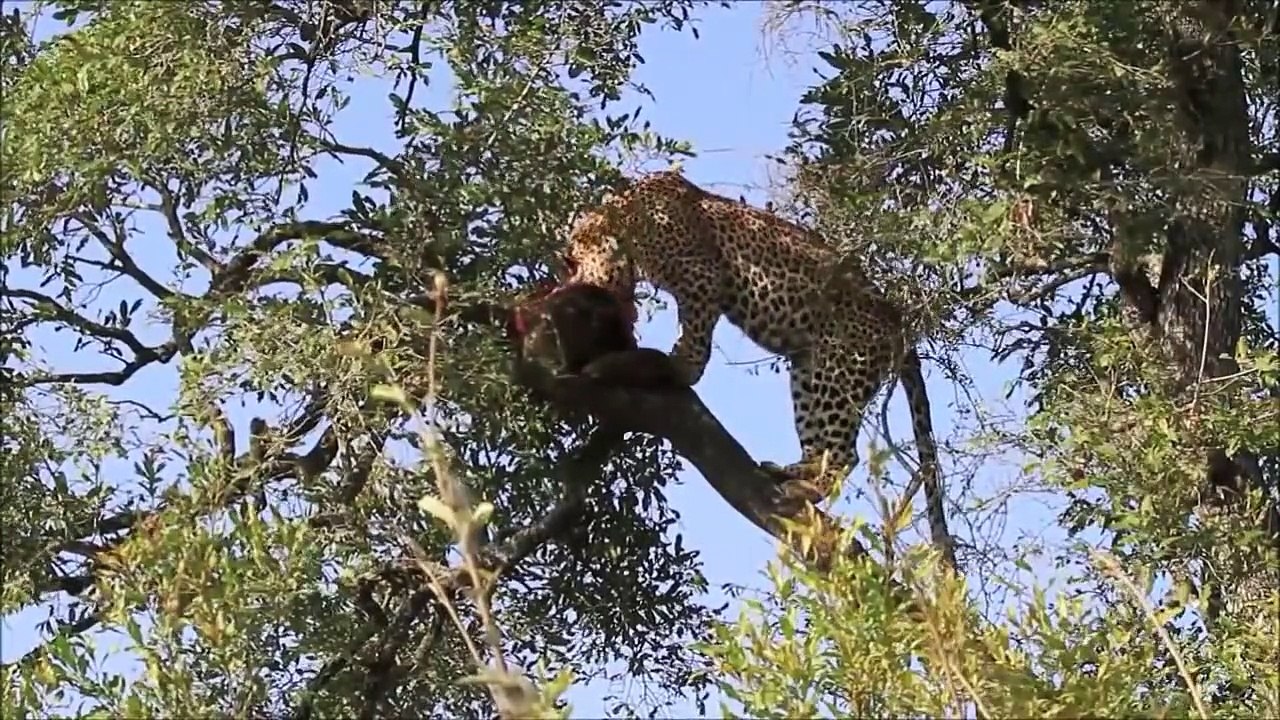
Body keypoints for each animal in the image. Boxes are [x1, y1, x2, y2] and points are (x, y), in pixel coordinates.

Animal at [558, 169, 956, 569]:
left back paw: (804, 489)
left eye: (574, 261)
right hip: (809, 372)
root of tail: (899, 325)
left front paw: (675, 366)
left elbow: (694, 342)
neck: (625, 222)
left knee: (846, 454)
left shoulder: (702, 276)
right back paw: (785, 471)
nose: (567, 279)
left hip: (839, 370)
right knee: (822, 445)